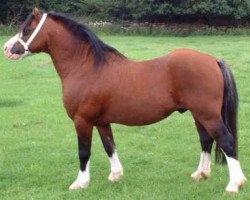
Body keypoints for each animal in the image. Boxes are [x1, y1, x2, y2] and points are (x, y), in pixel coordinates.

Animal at [3, 8, 246, 194]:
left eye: (27, 29)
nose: (7, 49)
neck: (87, 67)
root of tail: (213, 60)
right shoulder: (101, 122)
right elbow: (109, 146)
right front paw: (116, 175)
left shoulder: (82, 121)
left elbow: (84, 152)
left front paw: (80, 183)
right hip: (198, 114)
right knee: (206, 140)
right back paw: (200, 174)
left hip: (208, 114)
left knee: (226, 141)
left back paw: (234, 184)